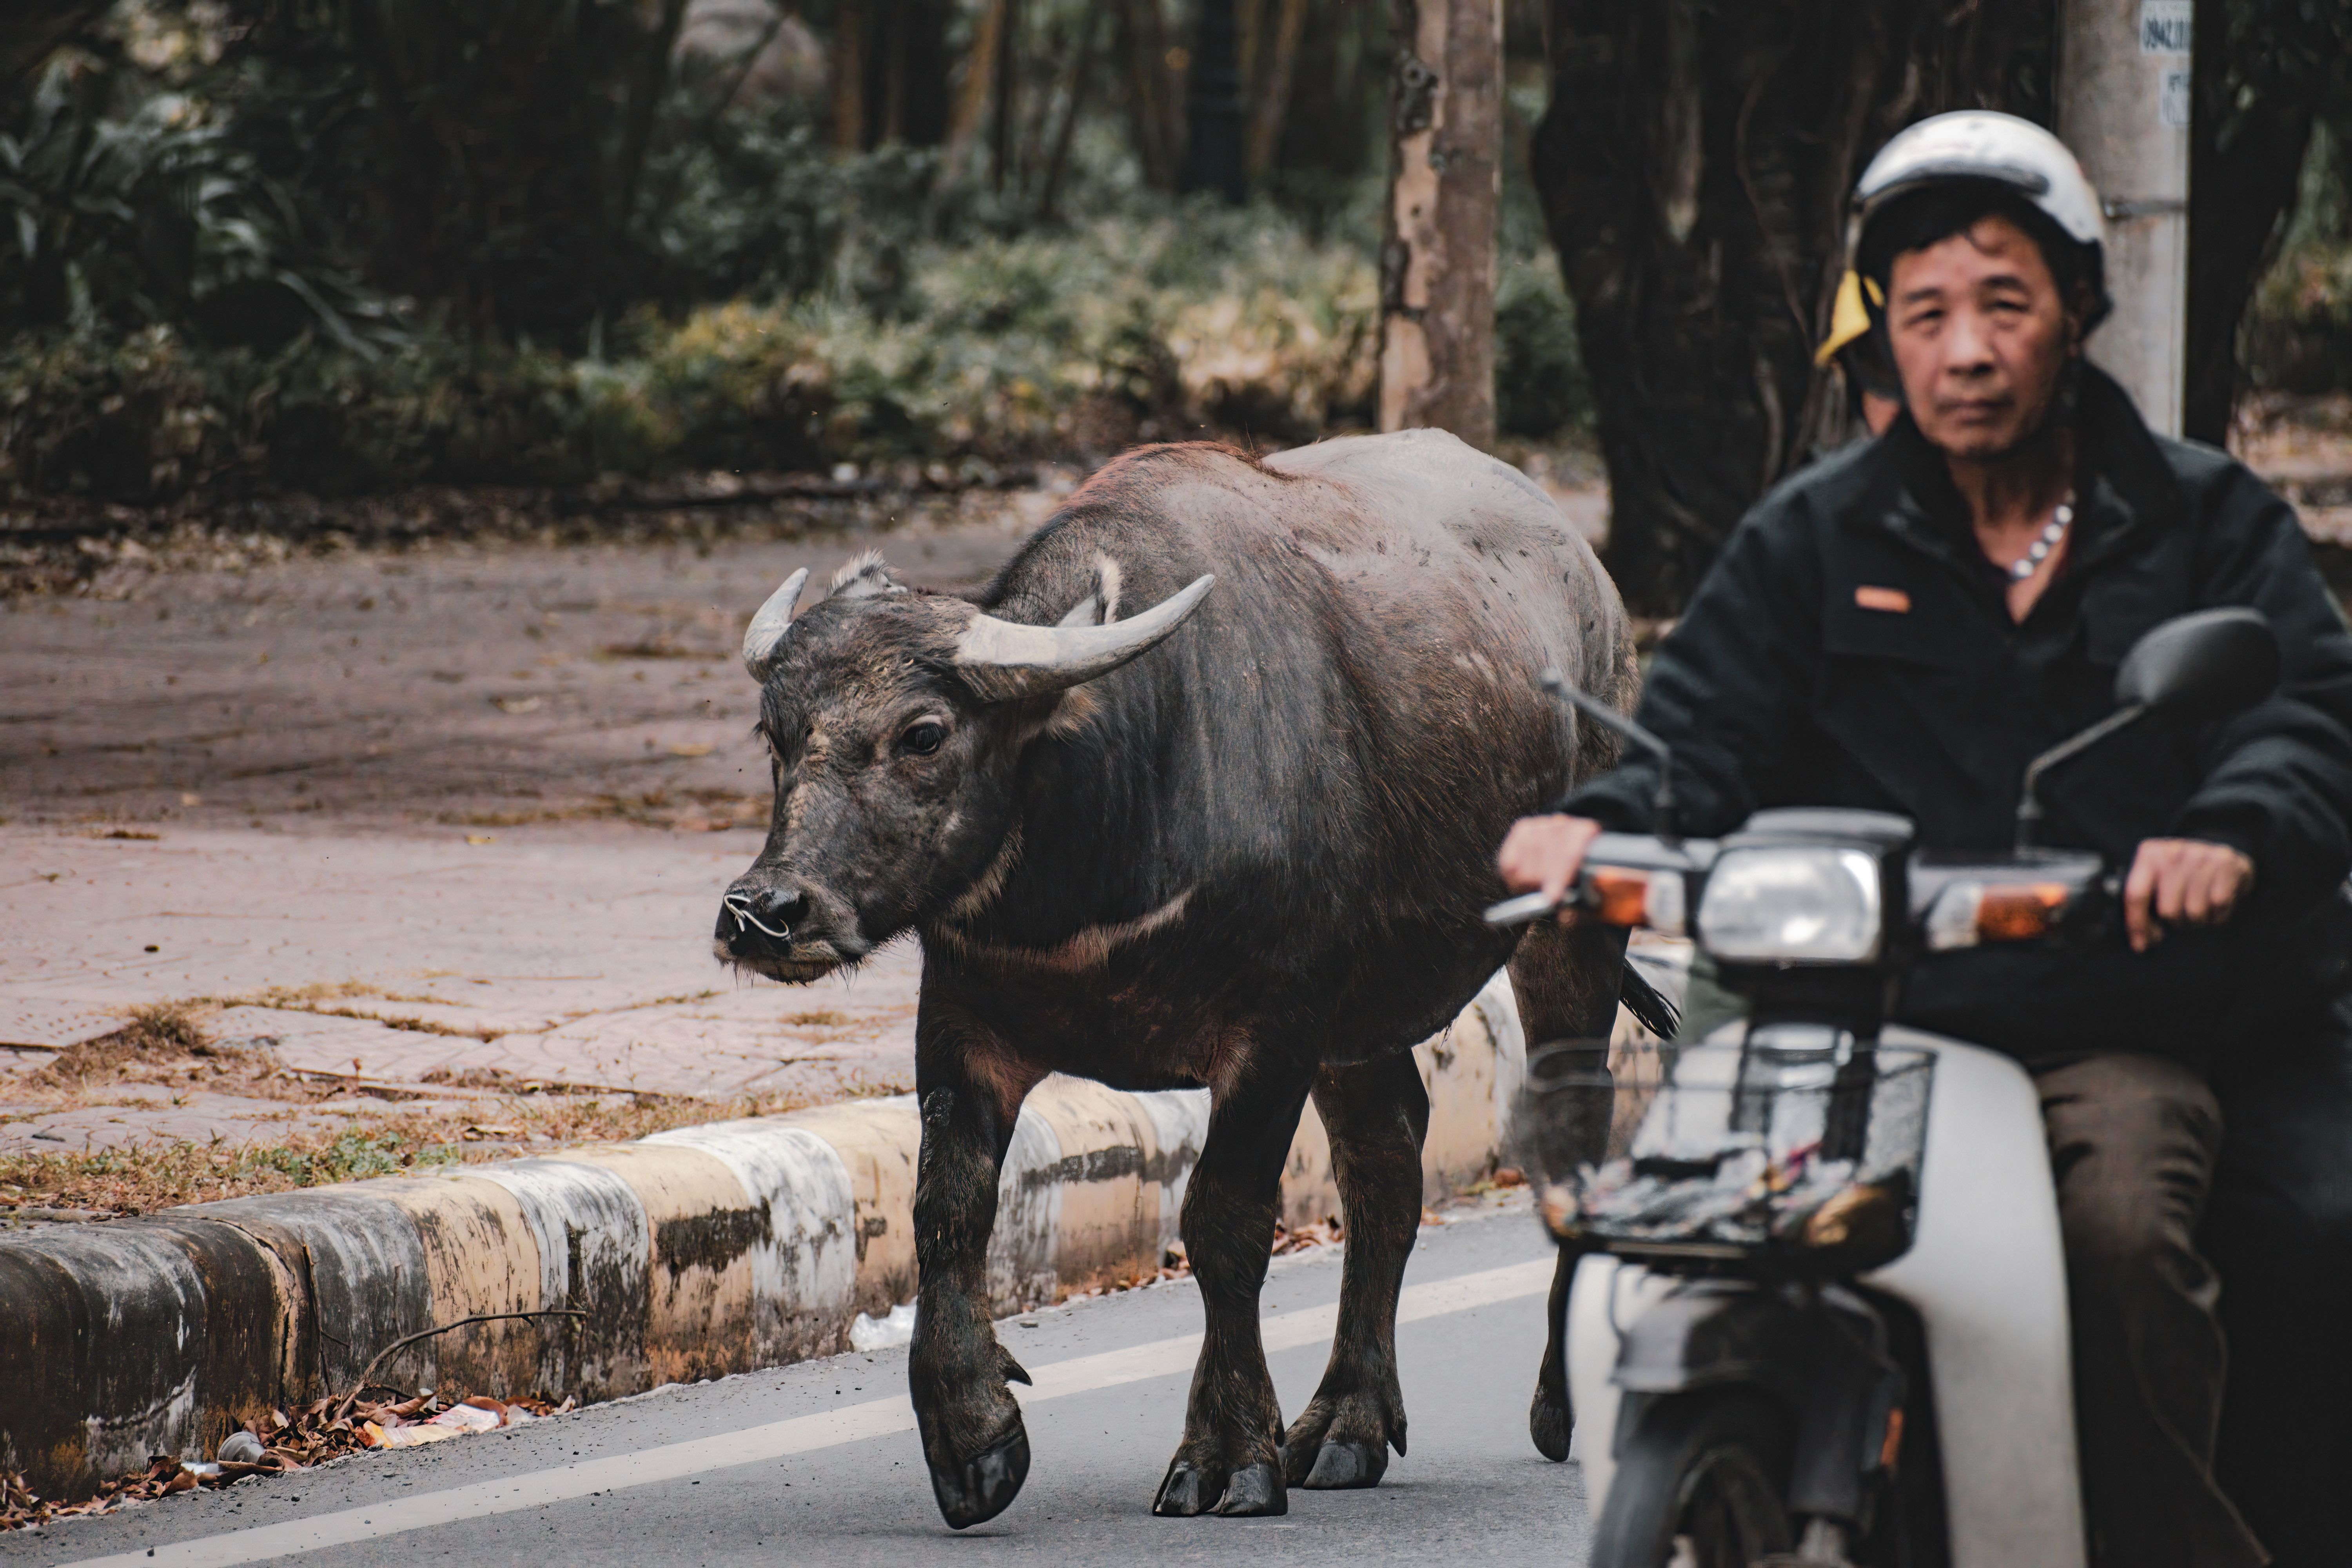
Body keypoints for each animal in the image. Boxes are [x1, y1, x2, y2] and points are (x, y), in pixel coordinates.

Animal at [716, 429, 1651, 1526]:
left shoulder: (1274, 1030)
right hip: (1360, 1023)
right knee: (1387, 1158)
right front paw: (971, 1435)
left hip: (1570, 928)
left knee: (1572, 1120)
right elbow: (946, 1209)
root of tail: (1594, 590)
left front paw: (1227, 1449)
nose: (765, 911)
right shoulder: (963, 1018)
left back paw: (1560, 1398)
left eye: (923, 732)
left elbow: (1223, 1221)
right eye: (777, 736)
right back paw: (1348, 1419)